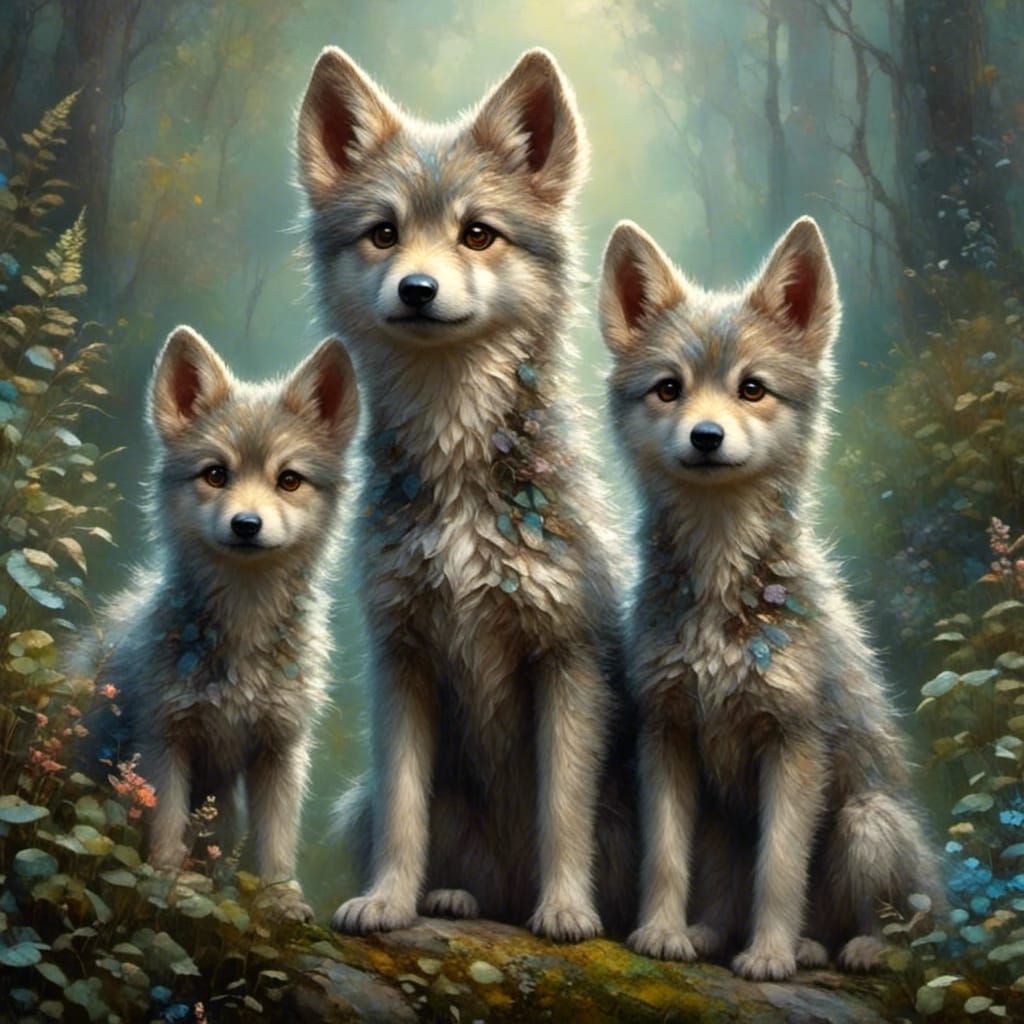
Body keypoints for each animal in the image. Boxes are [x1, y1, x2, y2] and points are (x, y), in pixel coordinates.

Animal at [78, 327, 358, 920]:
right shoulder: (164, 738)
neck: (243, 633)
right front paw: (167, 887)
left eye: (289, 480)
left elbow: (276, 841)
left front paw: (279, 898)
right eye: (215, 474)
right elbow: (165, 830)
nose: (246, 524)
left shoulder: (280, 748)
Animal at [295, 47, 636, 940]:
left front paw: (567, 913)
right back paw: (452, 897)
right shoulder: (401, 658)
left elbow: (563, 809)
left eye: (477, 233)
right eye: (384, 233)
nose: (416, 288)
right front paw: (387, 902)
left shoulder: (567, 659)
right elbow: (405, 810)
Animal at [599, 216, 940, 979]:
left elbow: (781, 869)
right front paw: (661, 934)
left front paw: (771, 957)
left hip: (866, 821)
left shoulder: (795, 744)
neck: (720, 590)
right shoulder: (666, 735)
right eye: (669, 389)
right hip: (725, 826)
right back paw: (712, 936)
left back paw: (844, 948)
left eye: (752, 389)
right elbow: (664, 858)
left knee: (900, 935)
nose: (706, 436)